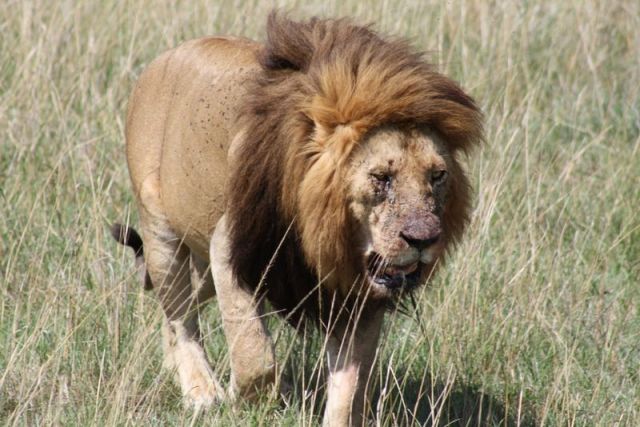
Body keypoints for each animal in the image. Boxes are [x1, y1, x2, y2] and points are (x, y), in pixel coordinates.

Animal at [113, 13, 482, 426]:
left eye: (437, 176)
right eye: (381, 177)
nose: (423, 239)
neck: (328, 234)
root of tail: (161, 60)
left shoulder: (356, 294)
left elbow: (350, 386)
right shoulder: (230, 249)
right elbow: (254, 354)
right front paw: (252, 396)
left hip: (201, 261)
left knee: (181, 310)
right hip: (163, 238)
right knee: (181, 317)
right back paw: (201, 390)